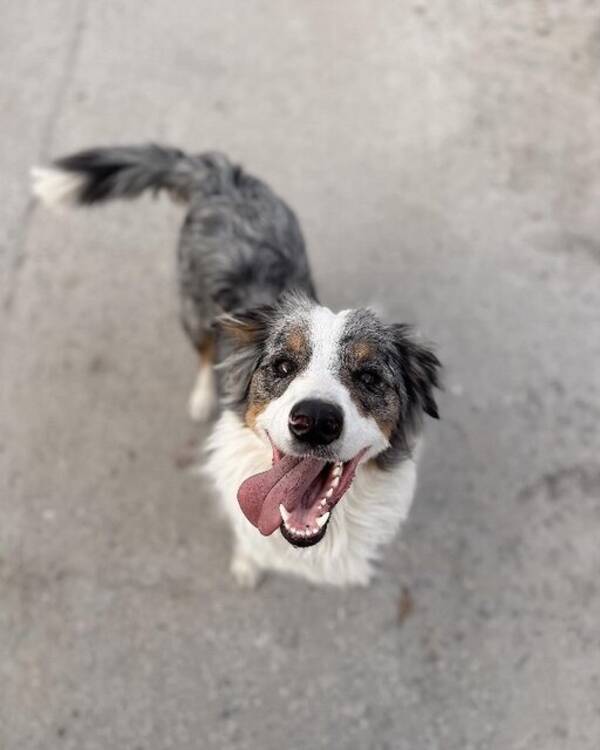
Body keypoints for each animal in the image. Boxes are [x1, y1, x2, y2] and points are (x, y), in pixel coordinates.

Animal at [31, 145, 440, 588]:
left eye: (369, 377)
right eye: (282, 367)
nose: (314, 421)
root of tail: (223, 177)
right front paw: (247, 564)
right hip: (194, 313)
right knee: (205, 352)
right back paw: (201, 396)